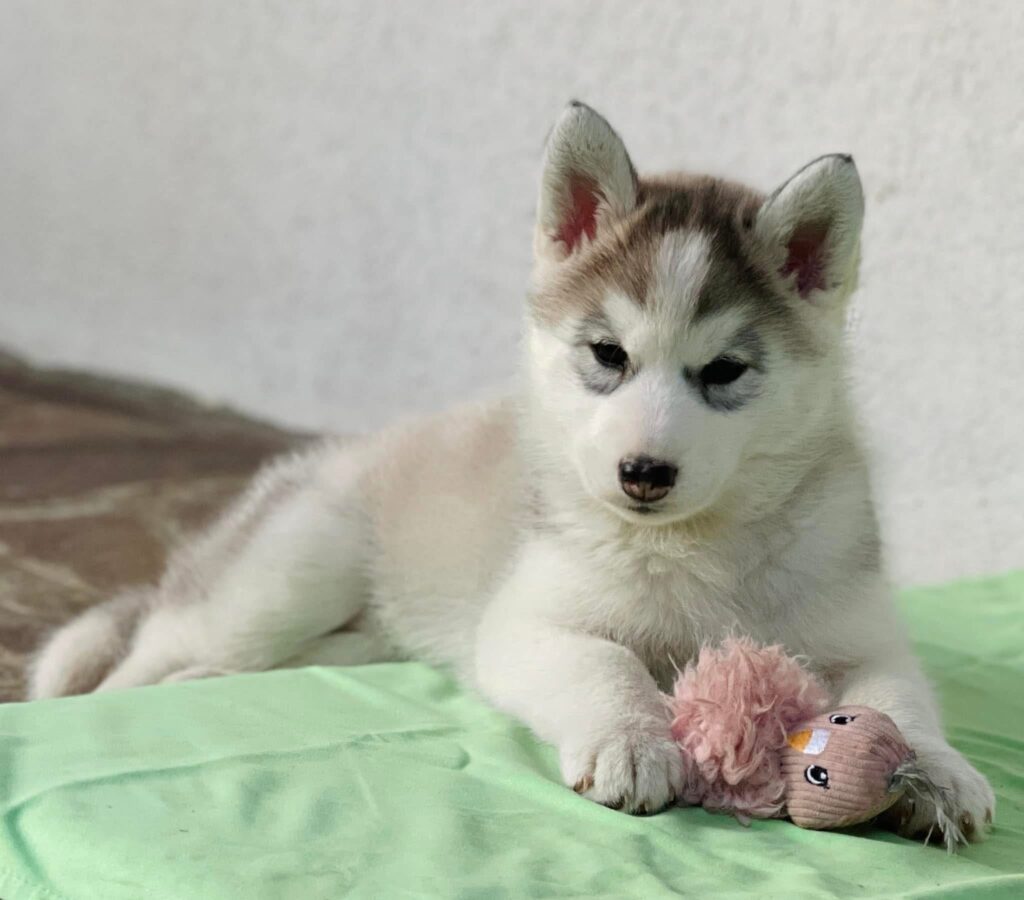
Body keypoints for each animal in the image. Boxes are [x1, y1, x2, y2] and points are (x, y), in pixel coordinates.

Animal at [29, 103, 991, 839]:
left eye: (724, 372)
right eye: (608, 355)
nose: (643, 472)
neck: (695, 546)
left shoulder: (859, 633)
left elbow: (900, 698)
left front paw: (939, 770)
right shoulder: (530, 621)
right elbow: (608, 663)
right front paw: (632, 740)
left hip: (353, 627)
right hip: (284, 579)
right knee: (148, 654)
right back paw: (105, 702)